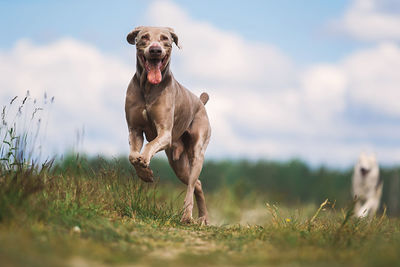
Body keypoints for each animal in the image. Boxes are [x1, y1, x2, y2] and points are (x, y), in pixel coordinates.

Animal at [125, 26, 212, 225]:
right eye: (144, 37)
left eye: (165, 38)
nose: (155, 50)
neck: (148, 88)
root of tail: (200, 102)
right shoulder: (134, 130)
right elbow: (132, 155)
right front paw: (145, 173)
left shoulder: (165, 133)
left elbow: (150, 144)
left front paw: (145, 162)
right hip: (177, 163)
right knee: (197, 183)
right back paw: (203, 217)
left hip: (197, 151)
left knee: (192, 184)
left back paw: (188, 216)